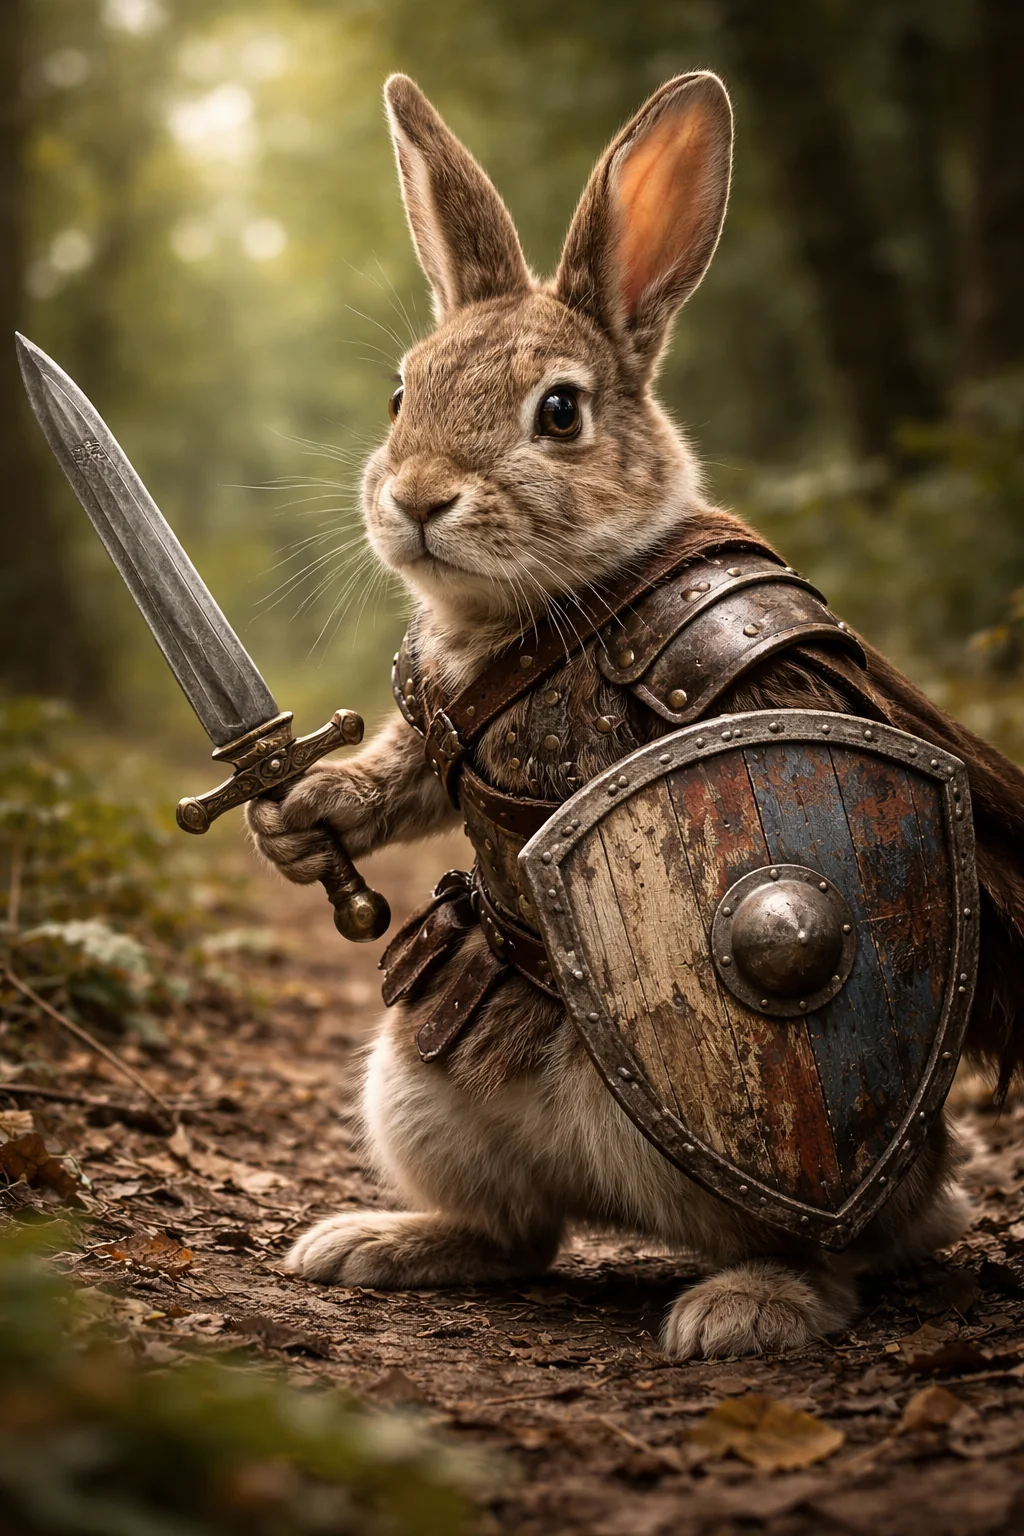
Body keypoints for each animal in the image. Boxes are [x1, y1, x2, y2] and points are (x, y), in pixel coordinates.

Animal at [247, 71, 979, 1359]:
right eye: (401, 392)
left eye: (558, 413)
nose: (416, 498)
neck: (540, 616)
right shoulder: (439, 738)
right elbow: (394, 783)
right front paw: (296, 816)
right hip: (416, 1090)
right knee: (518, 1233)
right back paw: (375, 1242)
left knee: (829, 1241)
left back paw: (744, 1308)